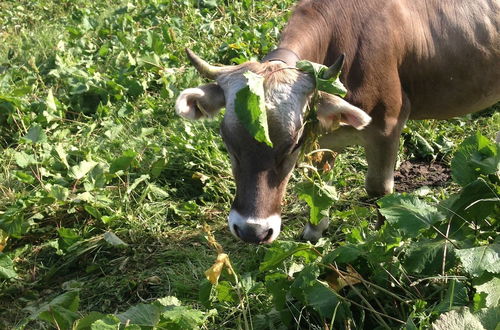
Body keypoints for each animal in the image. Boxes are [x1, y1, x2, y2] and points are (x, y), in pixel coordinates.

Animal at [176, 0, 500, 242]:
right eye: (228, 142)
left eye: (291, 147)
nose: (252, 231)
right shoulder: (323, 133)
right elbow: (319, 182)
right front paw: (314, 229)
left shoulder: (387, 126)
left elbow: (378, 189)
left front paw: (382, 239)